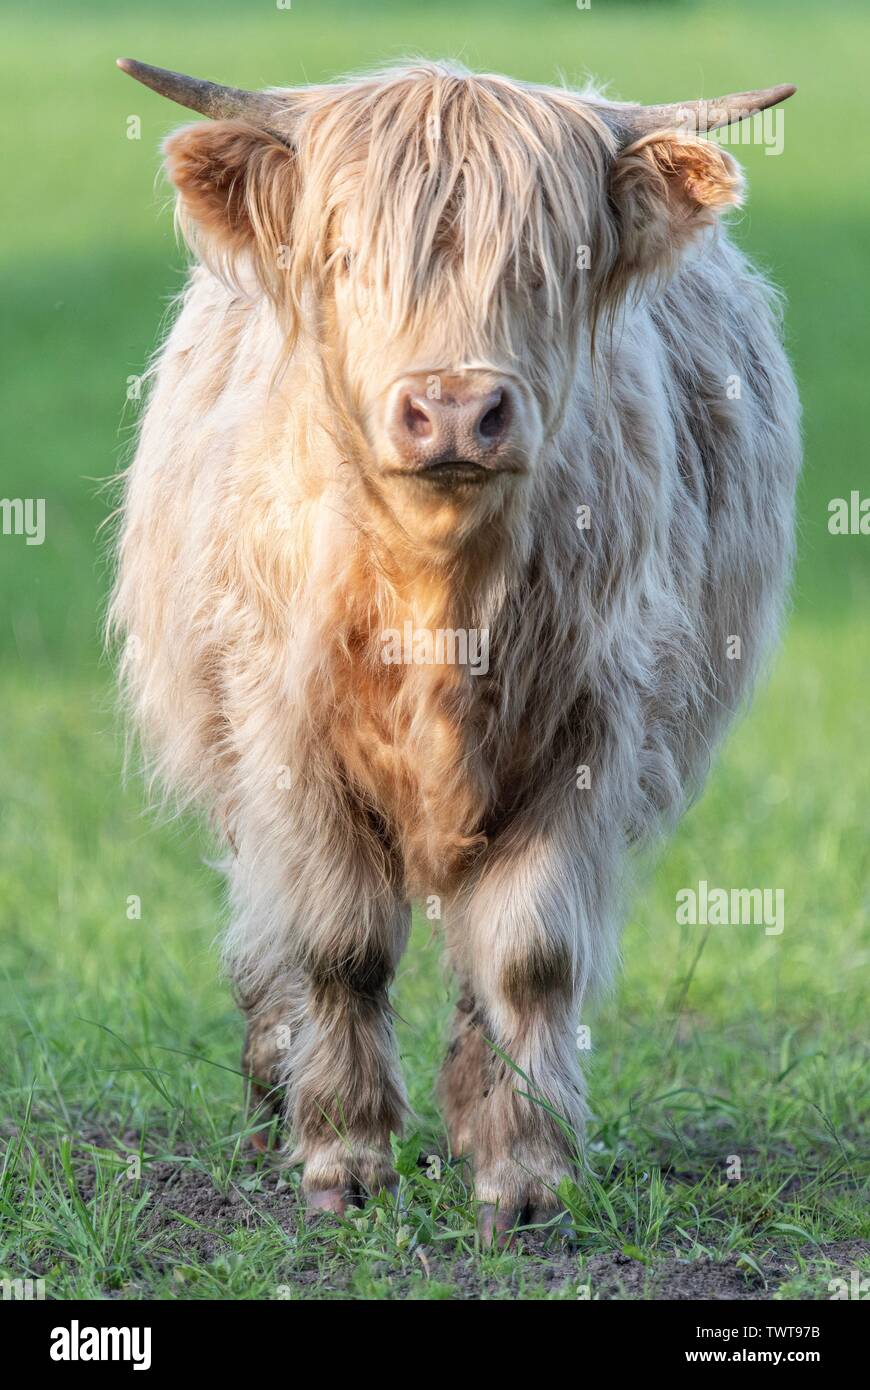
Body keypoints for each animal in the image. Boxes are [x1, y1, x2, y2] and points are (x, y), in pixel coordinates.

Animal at [110, 57, 800, 1241]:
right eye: (346, 256)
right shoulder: (288, 742)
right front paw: (341, 1158)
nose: (454, 409)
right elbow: (339, 945)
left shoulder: (592, 736)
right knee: (265, 931)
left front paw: (523, 1171)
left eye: (549, 265)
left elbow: (528, 957)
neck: (441, 591)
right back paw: (268, 1092)